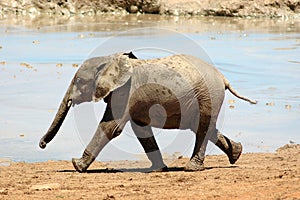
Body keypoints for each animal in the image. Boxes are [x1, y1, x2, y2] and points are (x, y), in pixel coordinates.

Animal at [38, 52, 256, 172]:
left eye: (80, 81)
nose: (41, 145)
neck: (112, 61)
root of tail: (223, 77)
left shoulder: (125, 92)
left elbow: (111, 127)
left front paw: (77, 166)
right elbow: (141, 129)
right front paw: (158, 169)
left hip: (208, 94)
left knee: (202, 127)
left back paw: (192, 168)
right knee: (201, 126)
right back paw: (237, 153)